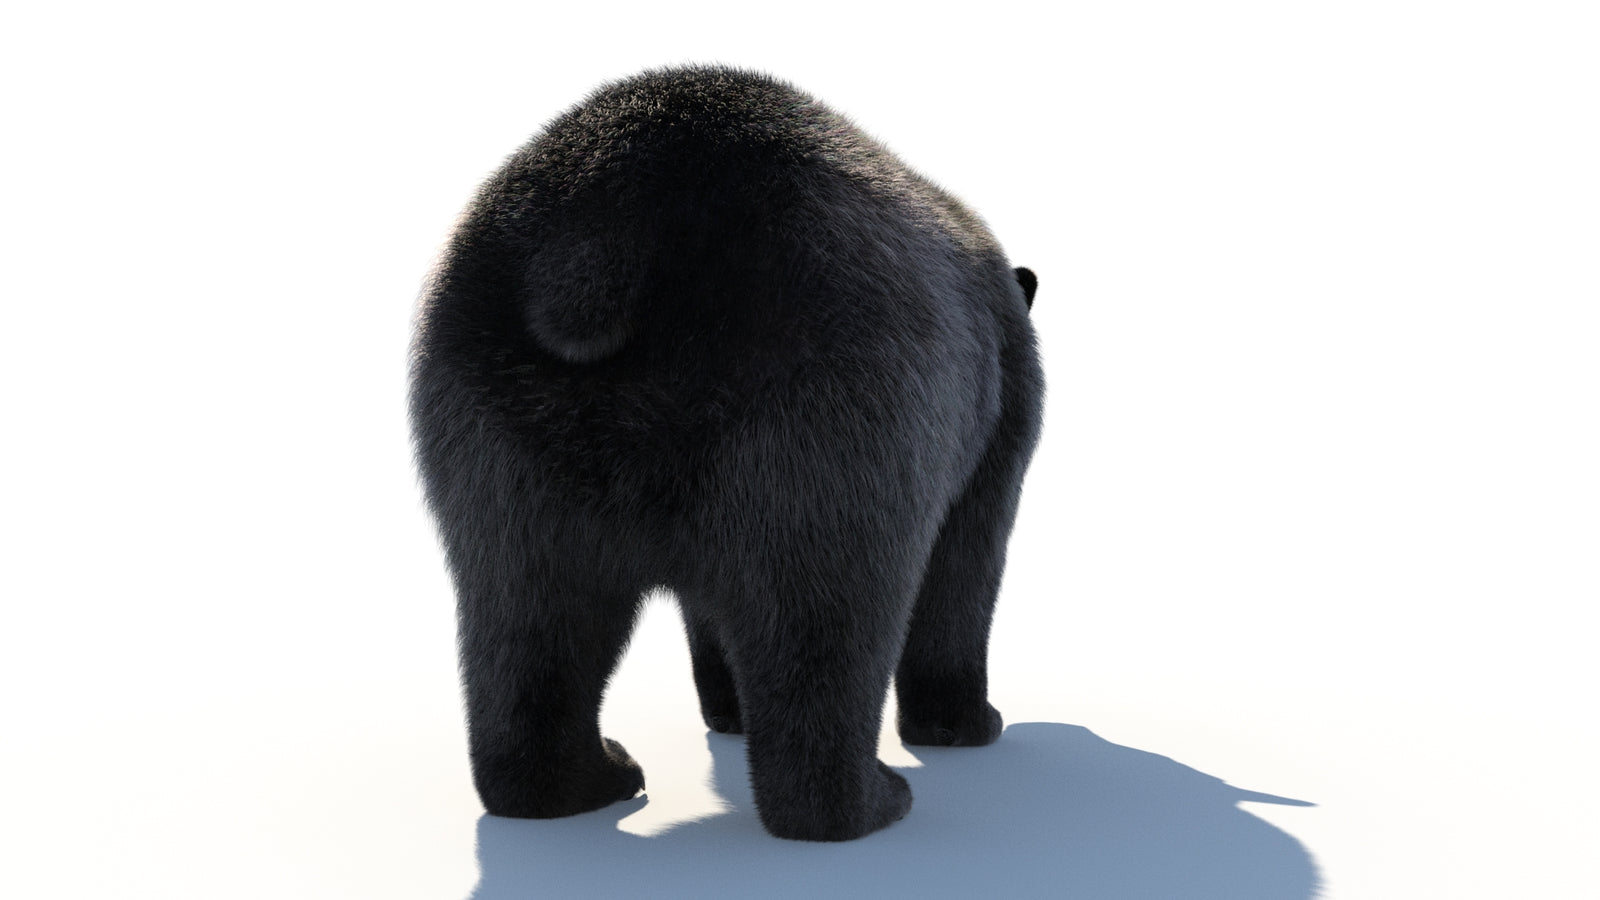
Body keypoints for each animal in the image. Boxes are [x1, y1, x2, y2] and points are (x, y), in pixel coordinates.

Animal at [409, 65, 1043, 842]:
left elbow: (707, 610)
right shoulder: (992, 412)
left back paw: (583, 779)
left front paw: (730, 707)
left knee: (526, 609)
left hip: (500, 421)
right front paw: (966, 720)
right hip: (832, 409)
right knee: (829, 609)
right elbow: (966, 557)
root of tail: (603, 230)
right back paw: (864, 800)